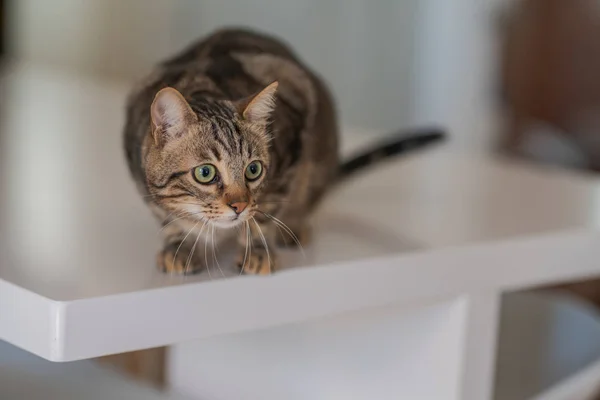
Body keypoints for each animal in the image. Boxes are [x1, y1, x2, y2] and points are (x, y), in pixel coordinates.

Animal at [123, 28, 446, 276]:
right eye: (205, 173)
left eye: (253, 170)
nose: (239, 206)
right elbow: (168, 218)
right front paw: (180, 245)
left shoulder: (295, 132)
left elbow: (265, 212)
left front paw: (257, 249)